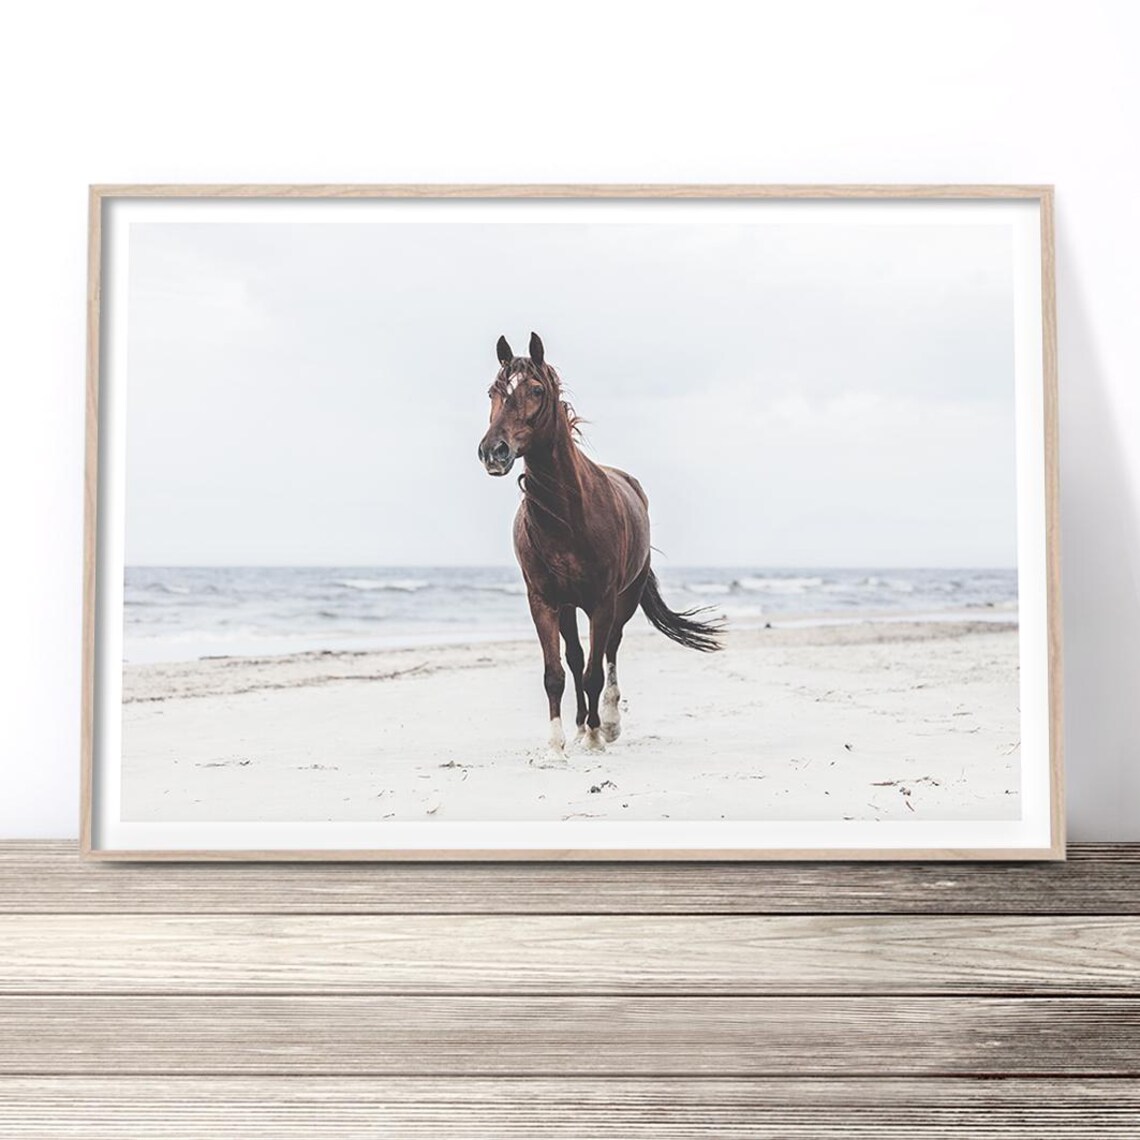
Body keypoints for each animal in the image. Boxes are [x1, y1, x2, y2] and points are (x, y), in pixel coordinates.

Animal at [477, 332, 722, 758]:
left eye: (536, 390)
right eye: (493, 391)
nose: (494, 451)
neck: (568, 516)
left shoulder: (602, 601)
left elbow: (595, 671)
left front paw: (596, 736)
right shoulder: (543, 601)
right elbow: (556, 672)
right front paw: (558, 744)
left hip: (623, 600)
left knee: (609, 652)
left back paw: (606, 721)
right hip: (568, 606)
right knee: (576, 658)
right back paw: (579, 725)